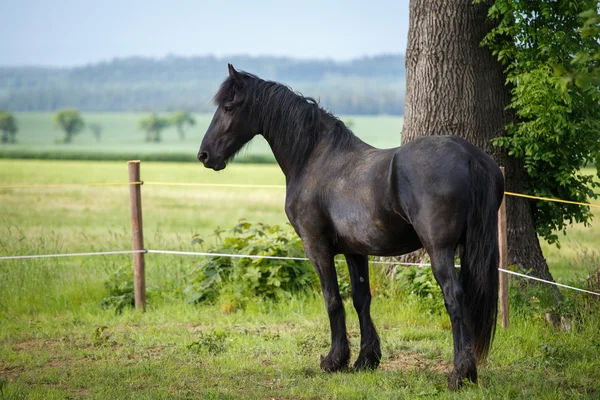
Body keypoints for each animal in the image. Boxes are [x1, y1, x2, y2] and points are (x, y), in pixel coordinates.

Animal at [199, 64, 504, 390]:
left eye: (228, 107)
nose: (204, 155)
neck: (314, 158)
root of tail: (469, 155)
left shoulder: (316, 247)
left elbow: (332, 300)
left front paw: (334, 360)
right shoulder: (355, 251)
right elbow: (361, 300)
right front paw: (365, 360)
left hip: (440, 250)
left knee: (454, 297)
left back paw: (460, 373)